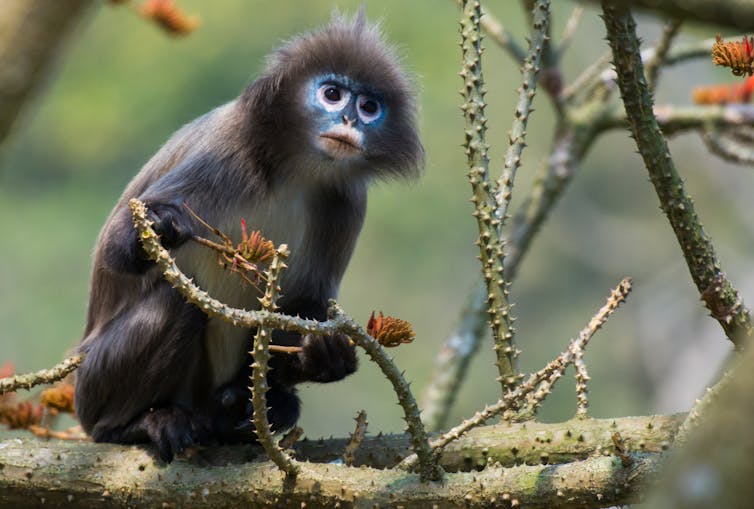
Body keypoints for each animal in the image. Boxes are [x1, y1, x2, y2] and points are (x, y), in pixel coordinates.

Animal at [73, 11, 423, 462]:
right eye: (332, 94)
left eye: (369, 107)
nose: (349, 121)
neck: (294, 169)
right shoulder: (223, 155)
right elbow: (114, 246)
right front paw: (162, 223)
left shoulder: (346, 201)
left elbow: (309, 300)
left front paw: (323, 357)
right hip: (94, 384)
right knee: (177, 303)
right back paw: (134, 425)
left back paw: (243, 412)